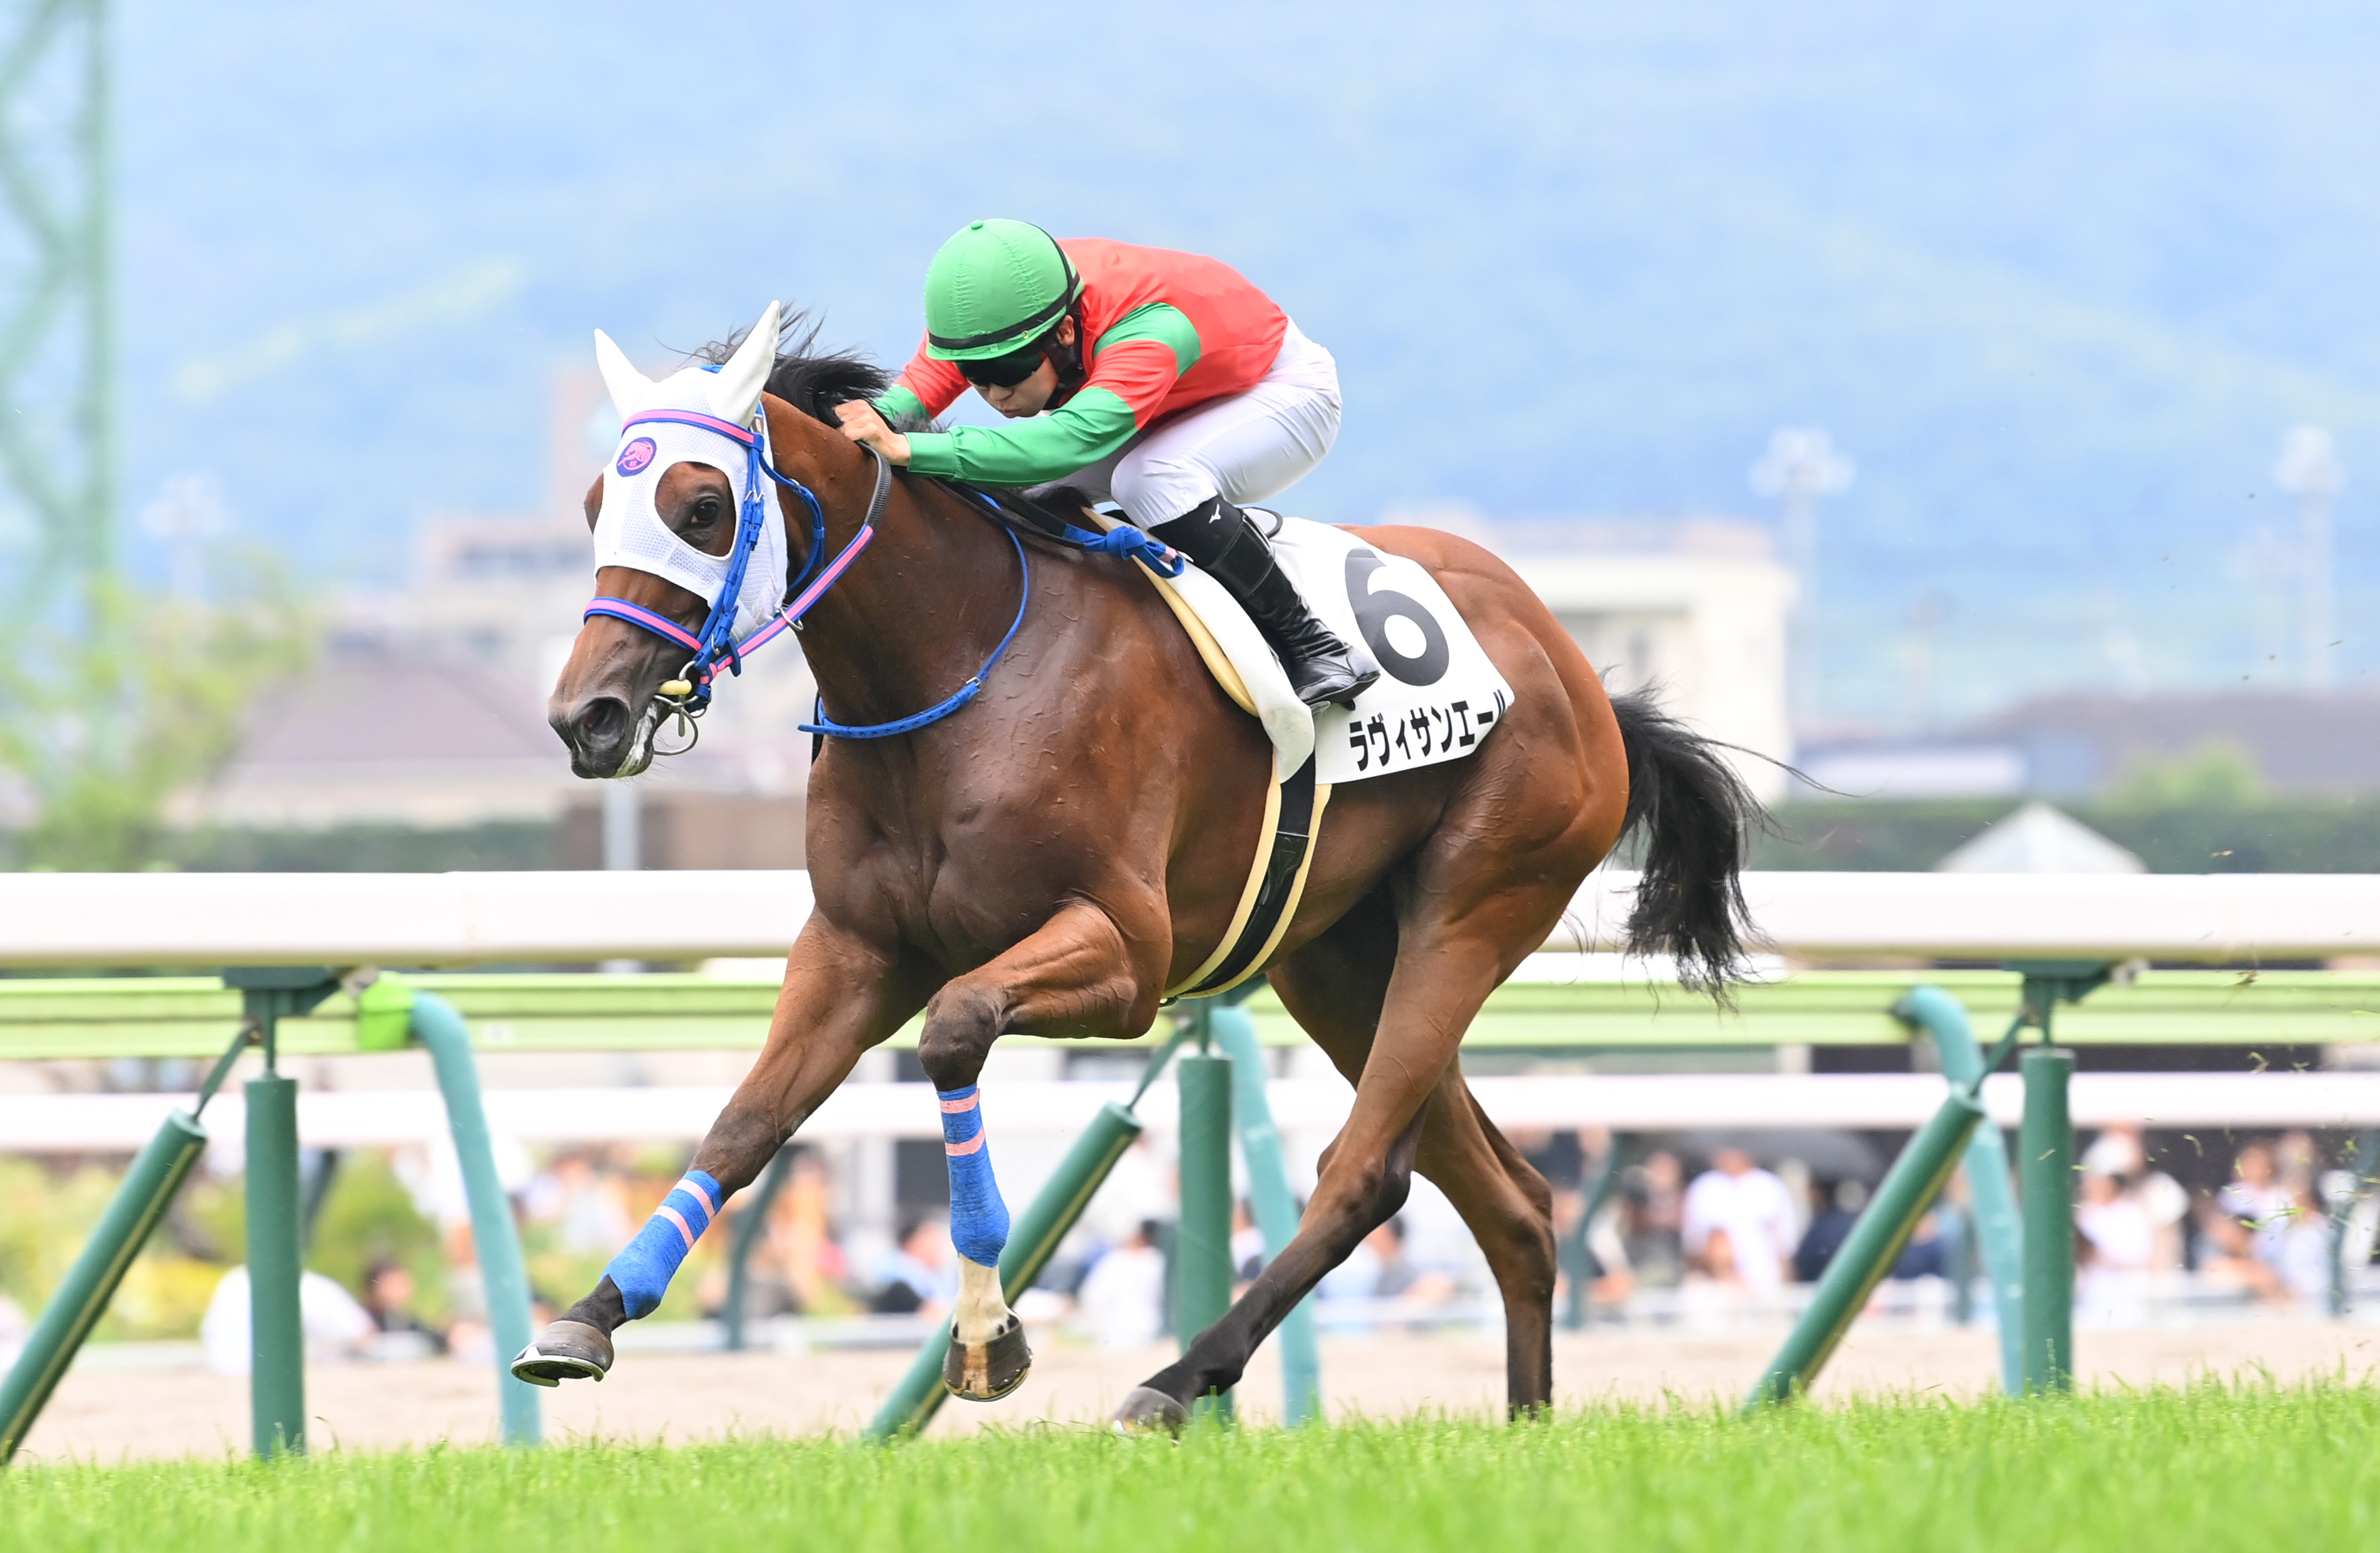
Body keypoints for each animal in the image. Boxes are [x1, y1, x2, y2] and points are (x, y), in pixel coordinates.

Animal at [523, 311, 1758, 1429]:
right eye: (590, 507)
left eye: (700, 507)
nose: (588, 717)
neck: (954, 665)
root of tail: (1571, 662)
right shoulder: (857, 947)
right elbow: (744, 1121)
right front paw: (590, 1313)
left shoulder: (1125, 956)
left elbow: (955, 1029)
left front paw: (987, 1338)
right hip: (1338, 961)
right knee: (1510, 1201)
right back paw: (1524, 1424)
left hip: (1476, 905)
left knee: (1364, 1168)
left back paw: (1176, 1376)